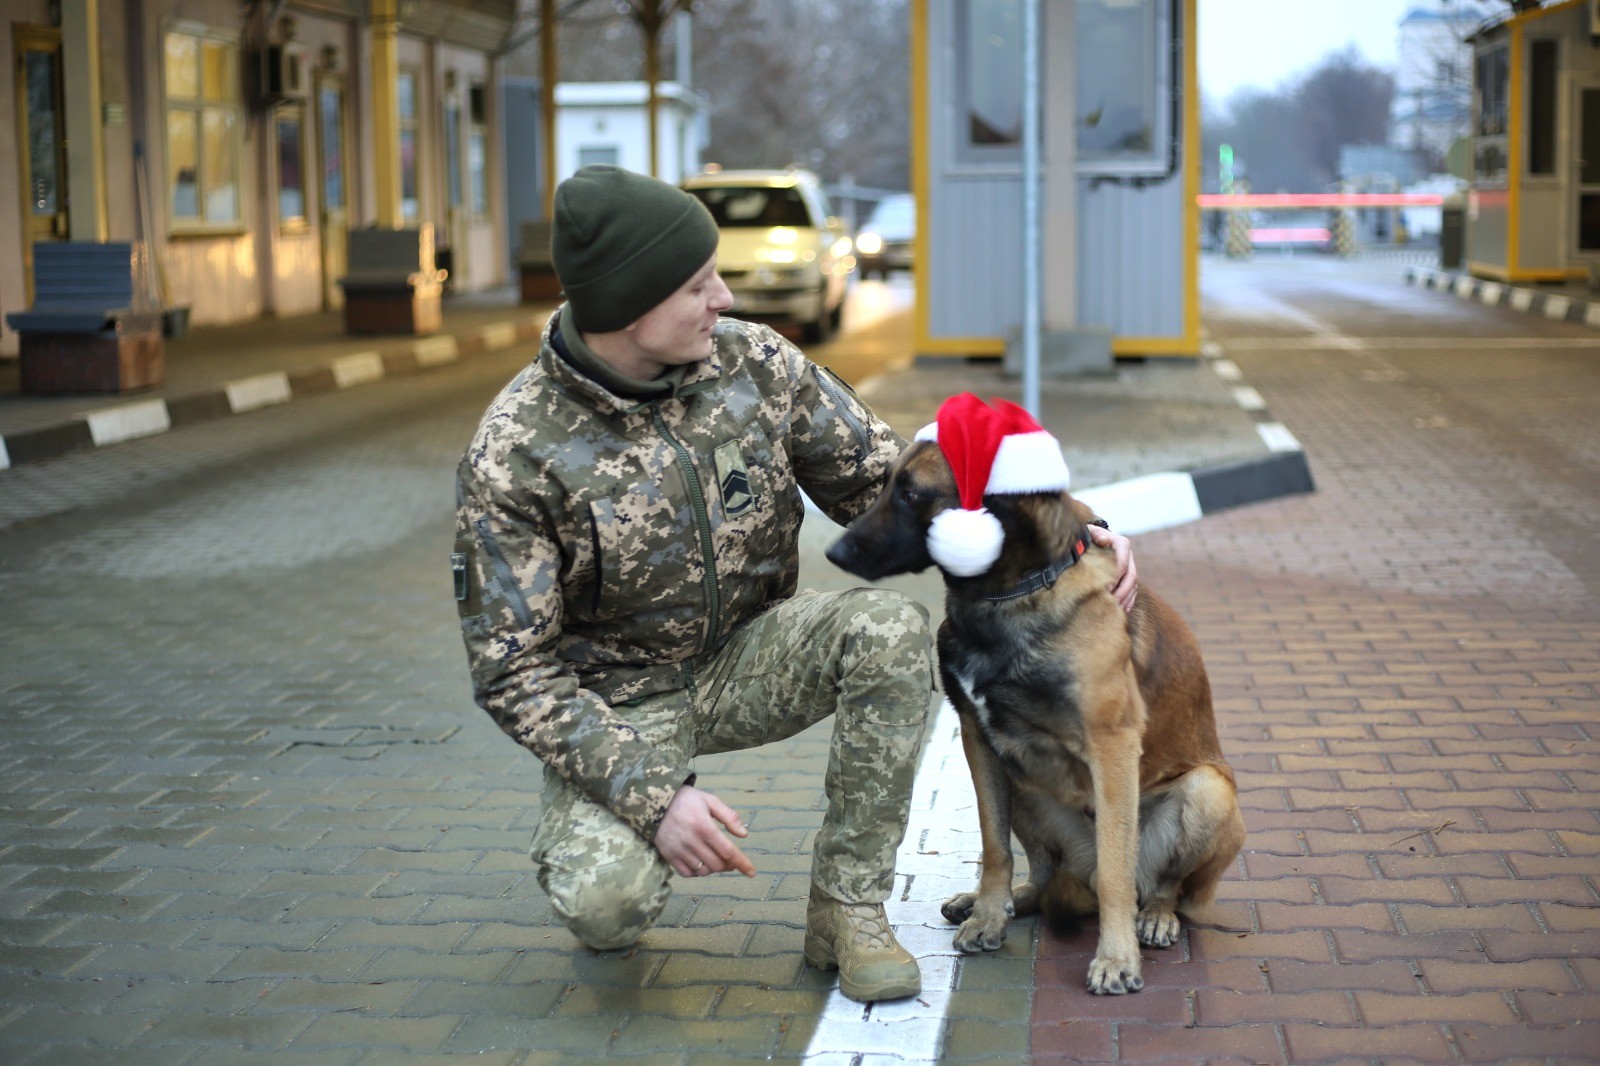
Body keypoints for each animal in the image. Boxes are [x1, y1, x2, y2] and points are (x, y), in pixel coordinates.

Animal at [832, 435, 1241, 992]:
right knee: (1045, 874)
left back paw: (1155, 916)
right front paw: (988, 913)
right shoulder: (977, 738)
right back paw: (1002, 901)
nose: (833, 551)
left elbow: (1116, 872)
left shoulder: (1111, 746)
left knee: (1157, 886)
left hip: (1208, 792)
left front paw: (1117, 958)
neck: (1011, 592)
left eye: (912, 494)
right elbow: (994, 844)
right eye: (884, 483)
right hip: (1023, 782)